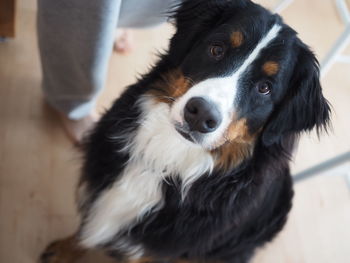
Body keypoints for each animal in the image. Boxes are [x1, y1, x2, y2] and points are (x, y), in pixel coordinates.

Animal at [41, 0, 330, 263]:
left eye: (265, 88)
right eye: (217, 49)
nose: (201, 114)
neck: (167, 158)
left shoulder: (158, 248)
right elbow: (85, 230)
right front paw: (65, 250)